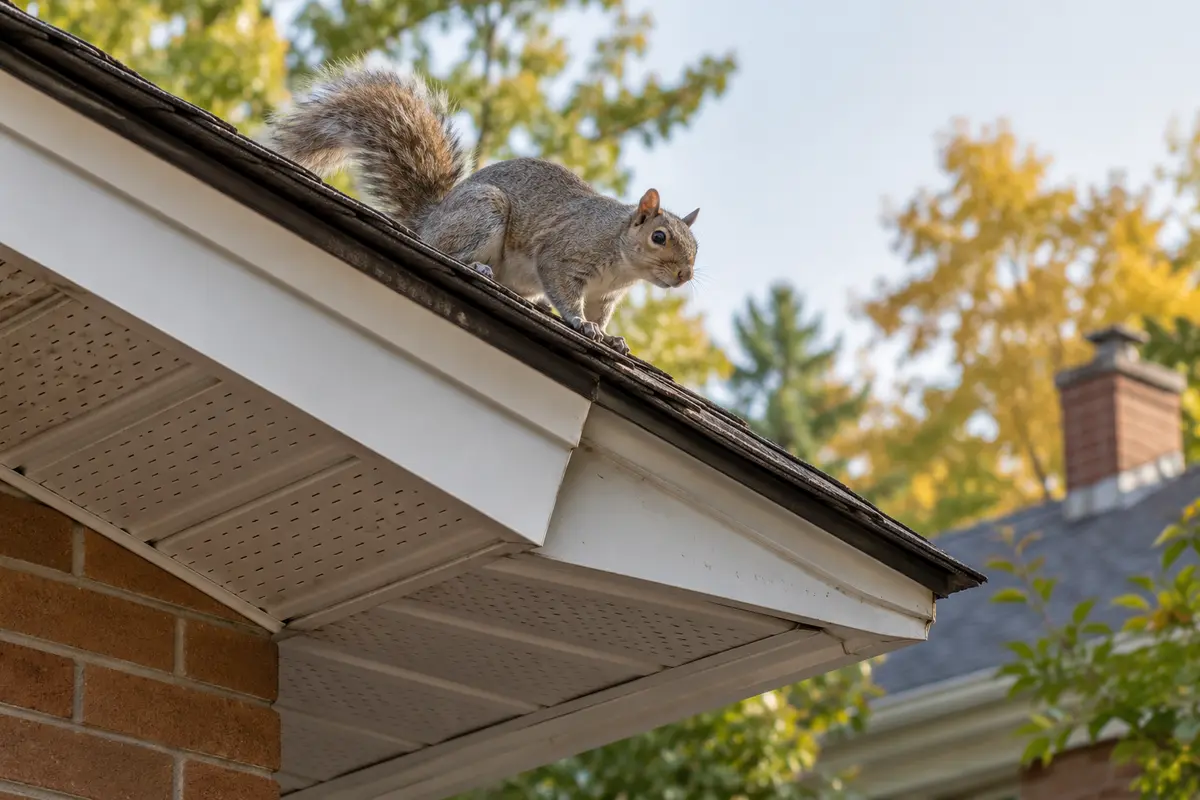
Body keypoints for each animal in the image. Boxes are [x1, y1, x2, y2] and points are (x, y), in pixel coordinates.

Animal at [265, 61, 700, 356]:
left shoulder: (605, 296)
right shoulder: (566, 253)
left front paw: (610, 337)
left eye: (696, 247)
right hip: (482, 214)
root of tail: (431, 218)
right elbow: (563, 289)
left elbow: (599, 314)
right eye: (659, 236)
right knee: (447, 251)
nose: (684, 275)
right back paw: (476, 265)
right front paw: (580, 324)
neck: (622, 261)